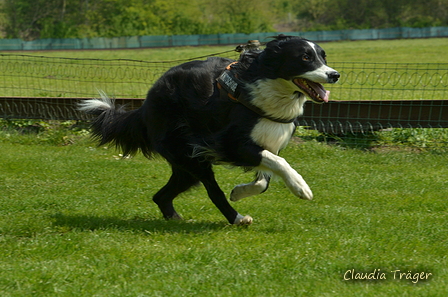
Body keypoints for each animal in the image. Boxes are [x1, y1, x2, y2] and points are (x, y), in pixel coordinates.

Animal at [79, 34, 340, 224]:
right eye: (305, 57)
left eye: (323, 57)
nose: (334, 75)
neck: (269, 88)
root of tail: (145, 105)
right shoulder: (230, 144)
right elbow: (280, 163)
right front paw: (300, 187)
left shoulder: (267, 144)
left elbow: (264, 181)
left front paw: (239, 191)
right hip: (191, 155)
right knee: (213, 191)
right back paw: (236, 218)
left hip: (186, 167)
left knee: (161, 195)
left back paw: (174, 217)